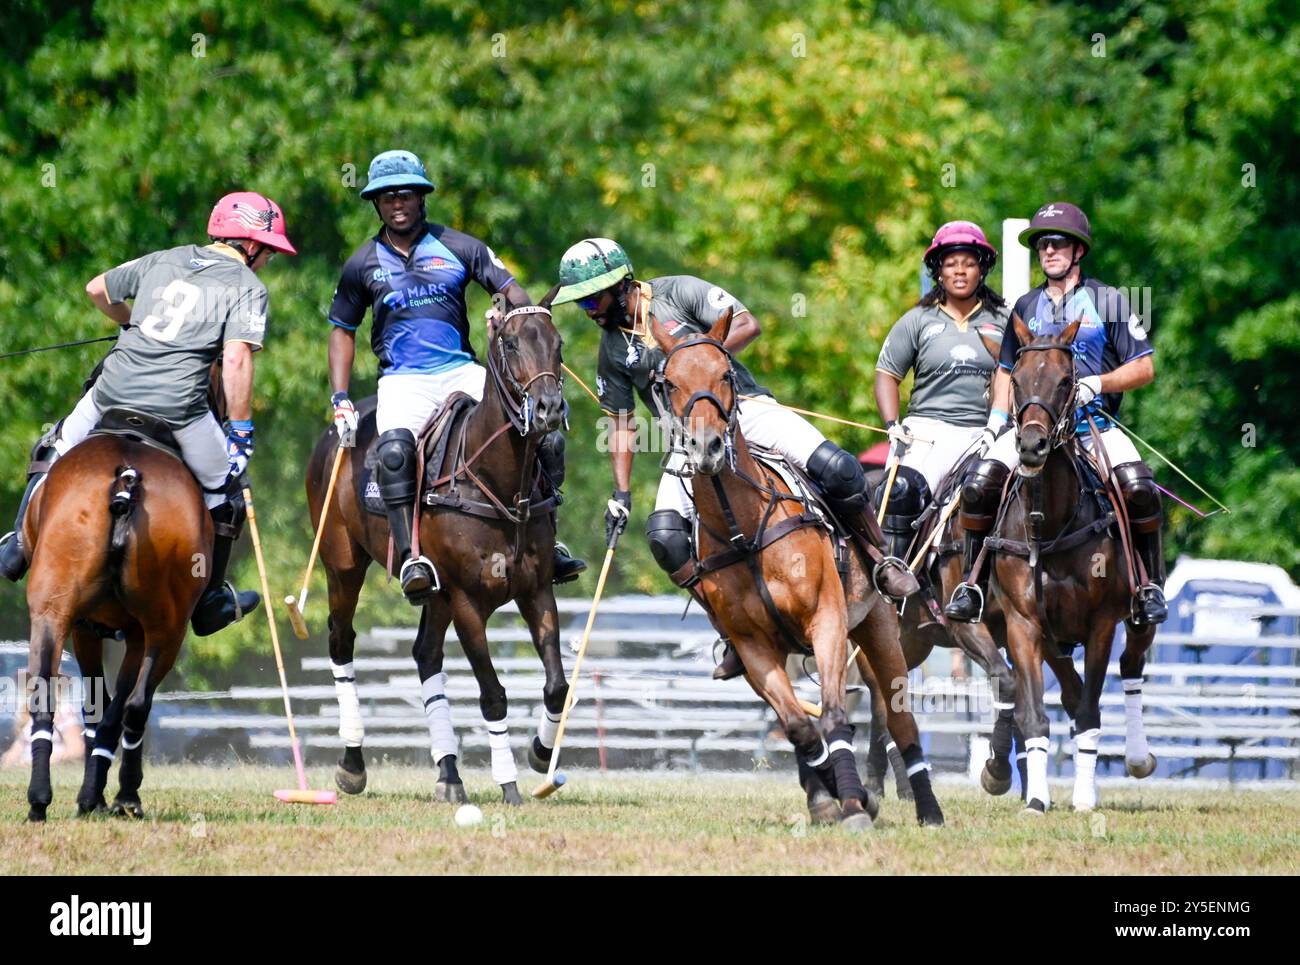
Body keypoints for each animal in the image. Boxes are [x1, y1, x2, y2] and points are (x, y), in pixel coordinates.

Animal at [312, 295, 572, 806]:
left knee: (426, 654)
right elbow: (493, 694)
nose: (549, 408)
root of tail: (331, 441)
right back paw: (352, 765)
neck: (499, 482)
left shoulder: (536, 589)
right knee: (341, 641)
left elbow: (557, 684)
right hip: (343, 564)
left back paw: (449, 773)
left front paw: (539, 755)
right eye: (510, 343)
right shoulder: (467, 600)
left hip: (435, 593)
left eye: (558, 344)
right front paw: (508, 784)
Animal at [650, 309, 946, 832]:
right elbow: (799, 728)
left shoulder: (826, 619)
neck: (744, 532)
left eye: (725, 375)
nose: (706, 448)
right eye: (670, 384)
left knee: (899, 719)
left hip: (878, 629)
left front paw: (854, 807)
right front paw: (833, 800)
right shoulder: (753, 648)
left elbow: (833, 717)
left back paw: (928, 810)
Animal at [977, 319, 1154, 816]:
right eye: (1017, 381)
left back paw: (1137, 758)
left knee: (1131, 666)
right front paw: (1036, 798)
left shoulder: (1101, 623)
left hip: (1137, 612)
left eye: (1064, 381)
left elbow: (1093, 710)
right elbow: (1036, 716)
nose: (1031, 445)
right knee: (1072, 695)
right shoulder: (1022, 624)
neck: (1051, 521)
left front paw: (1084, 797)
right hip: (1052, 641)